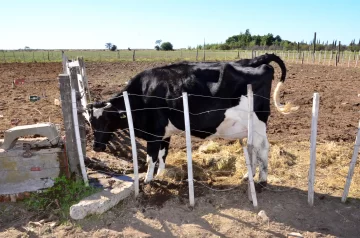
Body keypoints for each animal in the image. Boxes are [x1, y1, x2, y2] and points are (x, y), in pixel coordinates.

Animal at [87, 54, 298, 186]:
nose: (96, 147)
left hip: (258, 123)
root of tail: (256, 61)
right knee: (252, 147)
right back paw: (249, 176)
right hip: (249, 127)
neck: (141, 94)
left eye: (107, 120)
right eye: (91, 123)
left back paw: (262, 178)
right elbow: (163, 154)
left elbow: (151, 157)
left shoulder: (153, 133)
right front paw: (161, 174)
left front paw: (147, 180)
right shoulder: (164, 133)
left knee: (262, 147)